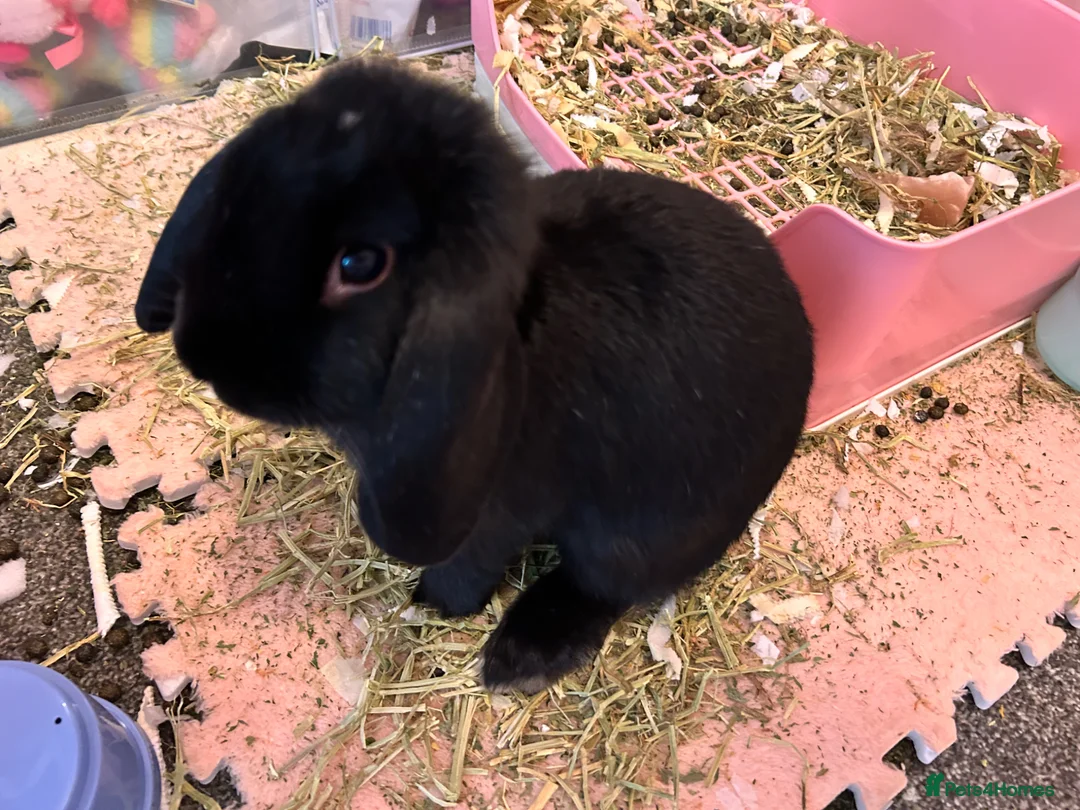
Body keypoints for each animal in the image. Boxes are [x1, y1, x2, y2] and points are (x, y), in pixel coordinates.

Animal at [135, 57, 815, 694]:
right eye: (239, 188)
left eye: (359, 264)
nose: (206, 360)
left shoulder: (500, 508)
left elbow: (473, 561)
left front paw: (433, 602)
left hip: (641, 535)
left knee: (606, 585)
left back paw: (519, 658)